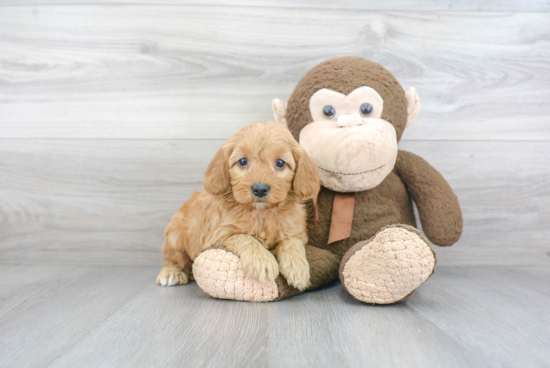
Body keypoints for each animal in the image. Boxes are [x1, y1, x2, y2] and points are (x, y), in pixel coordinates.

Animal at [156, 122, 320, 292]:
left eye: (280, 163)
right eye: (242, 161)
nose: (260, 189)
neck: (261, 213)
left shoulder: (295, 231)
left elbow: (291, 242)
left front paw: (297, 268)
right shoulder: (219, 236)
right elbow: (244, 237)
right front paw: (262, 261)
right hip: (175, 239)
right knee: (173, 259)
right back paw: (171, 273)